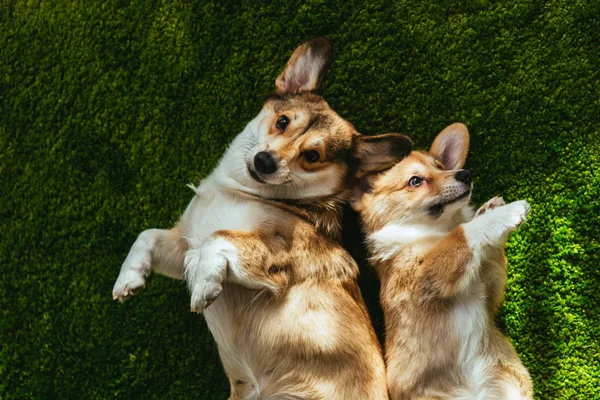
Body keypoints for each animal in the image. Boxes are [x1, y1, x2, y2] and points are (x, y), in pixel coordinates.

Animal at [112, 38, 412, 400]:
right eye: (282, 122)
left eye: (313, 156)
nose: (265, 161)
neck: (243, 192)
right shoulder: (183, 247)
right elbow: (148, 235)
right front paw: (128, 279)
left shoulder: (280, 253)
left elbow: (218, 238)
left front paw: (204, 284)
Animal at [352, 123, 536, 398]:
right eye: (415, 181)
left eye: (440, 167)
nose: (465, 174)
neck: (434, 232)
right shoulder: (426, 274)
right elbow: (463, 233)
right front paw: (506, 213)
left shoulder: (489, 287)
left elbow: (489, 253)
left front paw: (489, 210)